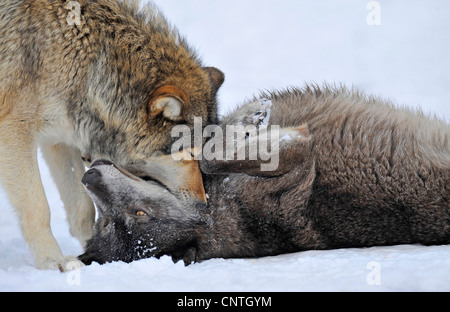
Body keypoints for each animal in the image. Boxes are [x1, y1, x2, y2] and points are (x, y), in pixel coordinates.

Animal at [0, 0, 225, 270]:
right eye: (188, 153)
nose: (204, 203)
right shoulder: (14, 131)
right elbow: (38, 208)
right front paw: (54, 262)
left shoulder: (57, 138)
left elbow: (83, 207)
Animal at [79, 86, 448, 266]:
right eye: (135, 215)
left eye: (105, 222)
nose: (88, 178)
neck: (218, 205)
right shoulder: (298, 155)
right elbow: (213, 160)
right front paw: (255, 118)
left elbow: (209, 145)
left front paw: (247, 117)